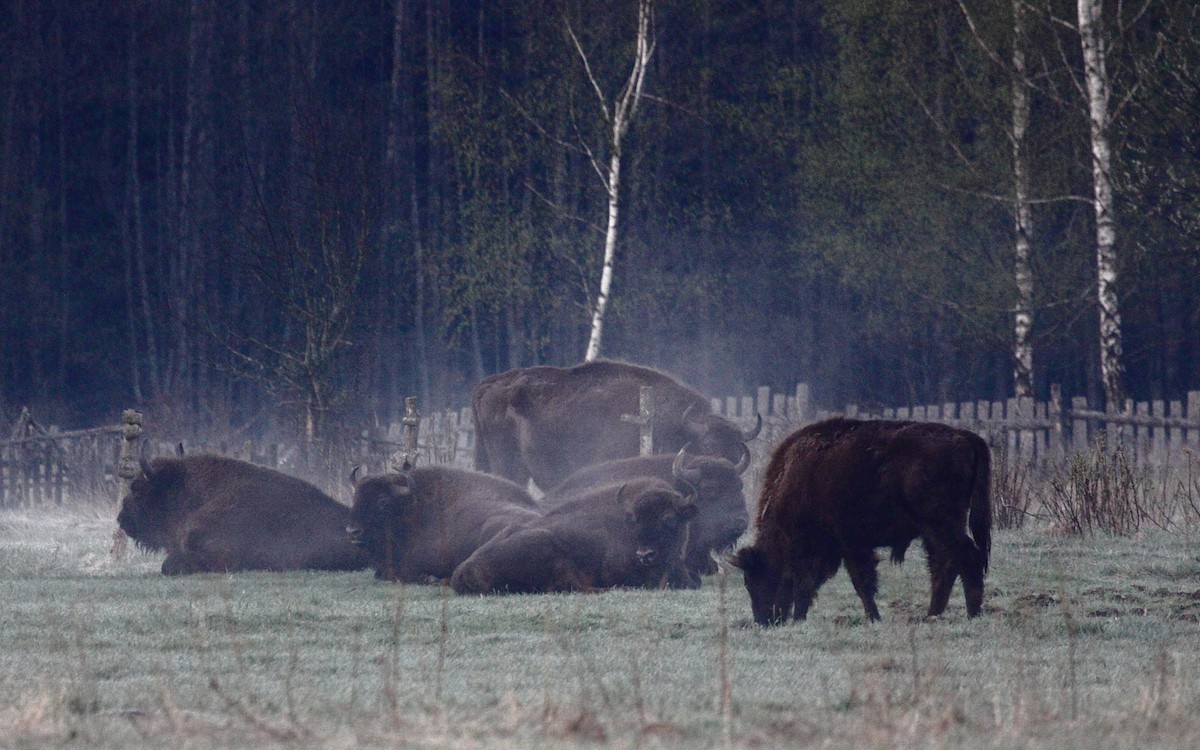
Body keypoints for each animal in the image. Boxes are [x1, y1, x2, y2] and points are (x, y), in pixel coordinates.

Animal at [471, 359, 761, 492]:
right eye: (708, 446)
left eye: (736, 451)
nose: (728, 477)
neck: (677, 426)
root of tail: (488, 383)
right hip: (509, 467)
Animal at [729, 418, 992, 625]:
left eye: (757, 577)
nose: (765, 620)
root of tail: (966, 437)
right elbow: (810, 585)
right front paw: (800, 617)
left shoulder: (849, 544)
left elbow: (860, 582)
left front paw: (873, 617)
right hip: (934, 530)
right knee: (944, 564)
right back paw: (933, 613)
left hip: (942, 524)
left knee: (966, 556)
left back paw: (972, 613)